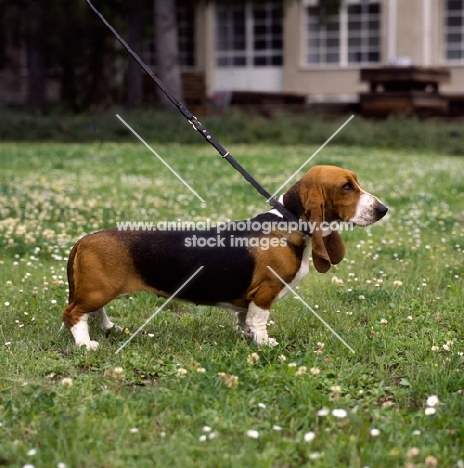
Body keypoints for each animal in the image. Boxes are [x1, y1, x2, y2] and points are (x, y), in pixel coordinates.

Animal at [62, 164, 388, 348]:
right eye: (346, 187)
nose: (383, 210)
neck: (290, 220)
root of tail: (83, 240)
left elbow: (244, 317)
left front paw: (245, 334)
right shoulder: (265, 292)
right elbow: (259, 319)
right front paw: (263, 342)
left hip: (99, 290)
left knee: (92, 311)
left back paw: (108, 328)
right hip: (98, 290)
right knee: (73, 313)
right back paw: (86, 344)